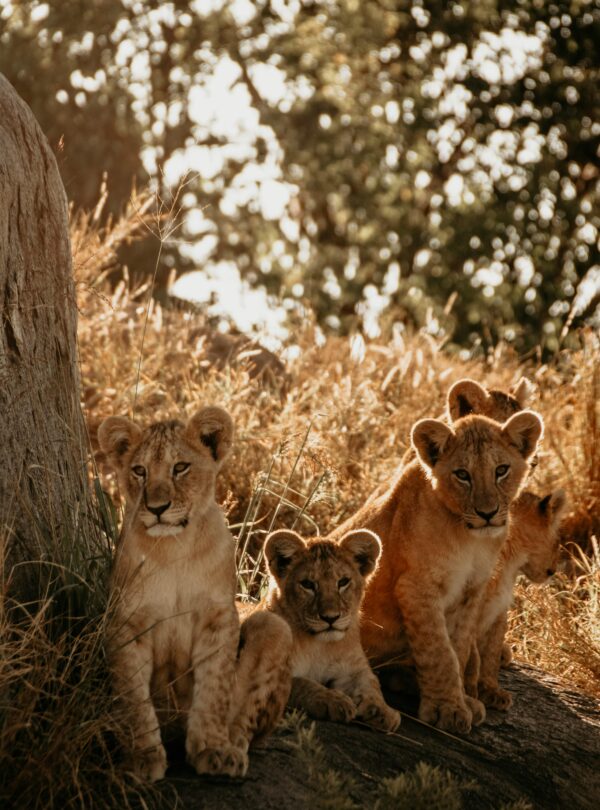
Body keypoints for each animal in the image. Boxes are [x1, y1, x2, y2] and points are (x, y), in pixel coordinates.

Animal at [98, 407, 292, 781]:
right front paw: (142, 756)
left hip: (277, 628)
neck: (175, 547)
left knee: (246, 725)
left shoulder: (217, 617)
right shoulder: (127, 622)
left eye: (180, 467)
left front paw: (213, 749)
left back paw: (233, 748)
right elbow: (133, 696)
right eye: (140, 471)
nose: (157, 508)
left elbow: (214, 688)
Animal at [264, 529, 401, 733]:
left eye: (343, 582)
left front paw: (383, 712)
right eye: (307, 584)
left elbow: (371, 685)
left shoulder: (353, 669)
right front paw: (335, 701)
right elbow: (302, 683)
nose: (330, 618)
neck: (319, 645)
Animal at [329, 410, 544, 733]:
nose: (488, 514)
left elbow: (459, 647)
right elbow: (439, 652)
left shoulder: (472, 590)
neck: (469, 538)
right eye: (462, 474)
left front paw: (464, 701)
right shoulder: (416, 586)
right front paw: (448, 710)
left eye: (501, 470)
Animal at [465, 488, 567, 710]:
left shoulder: (499, 609)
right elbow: (470, 655)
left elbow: (491, 652)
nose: (554, 570)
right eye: (558, 542)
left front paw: (491, 690)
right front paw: (469, 695)